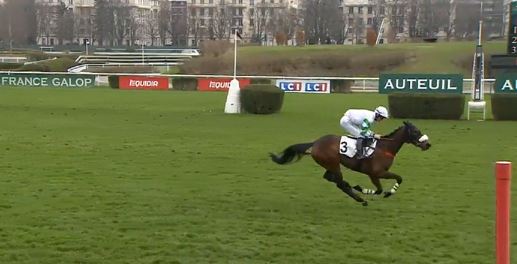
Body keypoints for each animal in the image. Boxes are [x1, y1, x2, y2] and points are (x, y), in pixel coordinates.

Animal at [268, 121, 430, 206]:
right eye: (415, 132)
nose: (427, 144)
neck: (385, 148)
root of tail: (315, 143)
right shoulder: (375, 173)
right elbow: (383, 187)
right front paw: (378, 192)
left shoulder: (377, 174)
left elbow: (396, 180)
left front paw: (387, 192)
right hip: (333, 164)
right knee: (339, 183)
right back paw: (360, 198)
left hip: (330, 165)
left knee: (331, 178)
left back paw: (351, 188)